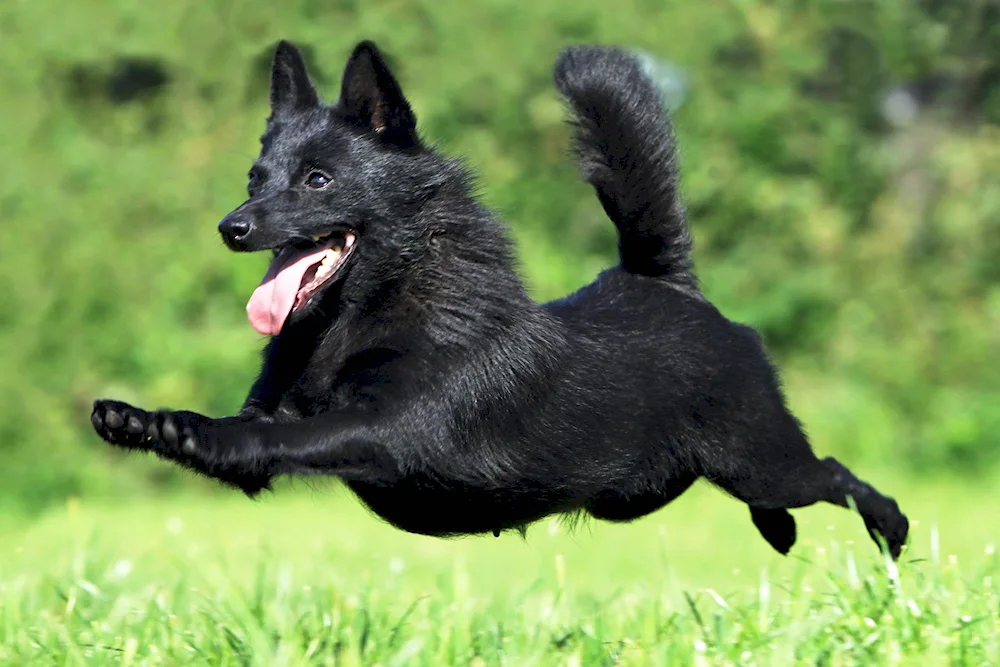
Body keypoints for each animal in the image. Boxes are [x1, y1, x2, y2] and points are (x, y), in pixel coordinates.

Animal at [90, 40, 912, 560]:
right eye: (255, 178)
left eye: (318, 180)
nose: (231, 228)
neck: (361, 315)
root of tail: (665, 284)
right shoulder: (281, 415)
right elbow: (251, 433)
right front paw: (145, 420)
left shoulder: (389, 430)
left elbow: (285, 439)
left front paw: (187, 428)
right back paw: (783, 531)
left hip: (760, 456)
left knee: (834, 473)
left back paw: (892, 530)